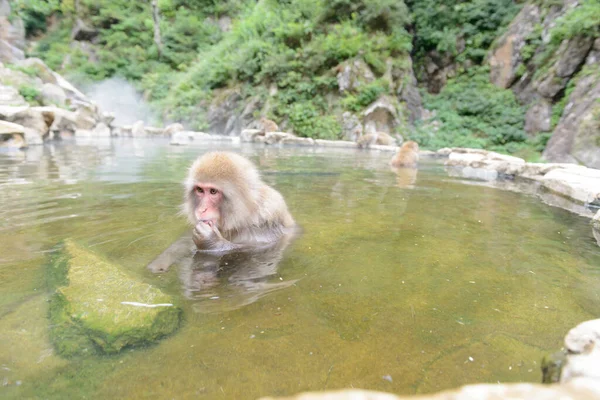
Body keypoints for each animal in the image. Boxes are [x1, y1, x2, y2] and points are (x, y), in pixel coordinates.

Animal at [148, 152, 298, 274]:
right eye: (200, 190)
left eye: (213, 191)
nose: (201, 209)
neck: (245, 214)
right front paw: (160, 263)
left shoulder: (265, 223)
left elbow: (248, 249)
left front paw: (210, 241)